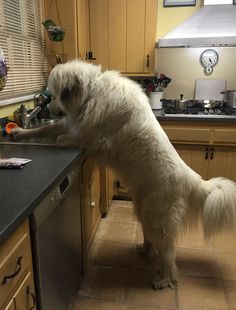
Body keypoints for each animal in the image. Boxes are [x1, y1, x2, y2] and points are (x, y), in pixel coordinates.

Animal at [12, 60, 236, 288]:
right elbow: (45, 130)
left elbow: (69, 138)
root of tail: (192, 179)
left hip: (158, 218)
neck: (91, 93)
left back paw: (163, 278)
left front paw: (61, 140)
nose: (50, 110)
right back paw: (144, 250)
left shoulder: (94, 140)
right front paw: (20, 133)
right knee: (152, 239)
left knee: (168, 253)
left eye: (57, 94)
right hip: (144, 209)